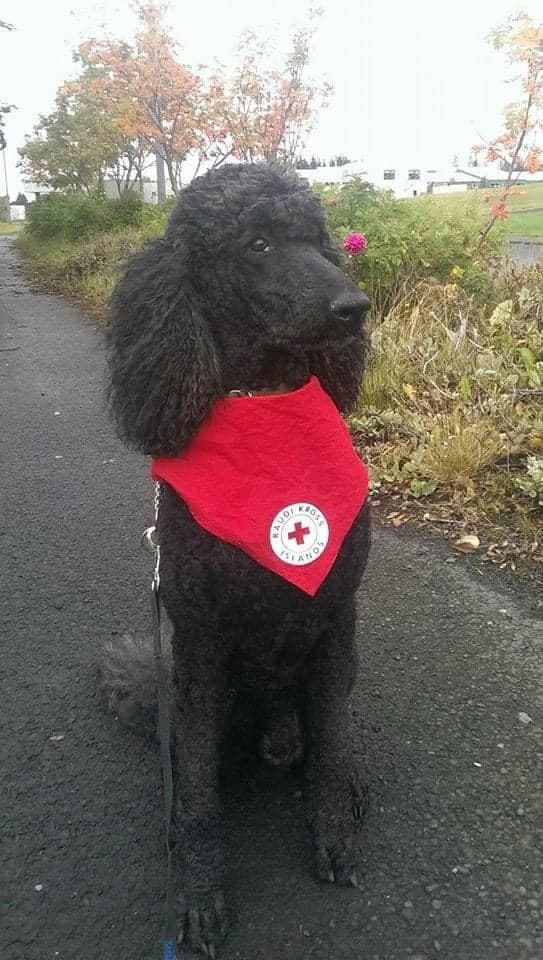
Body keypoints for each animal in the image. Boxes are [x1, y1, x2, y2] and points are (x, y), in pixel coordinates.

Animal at [102, 163, 371, 955]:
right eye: (256, 244)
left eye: (317, 239)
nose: (355, 309)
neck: (266, 411)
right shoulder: (199, 644)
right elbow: (194, 792)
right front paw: (198, 892)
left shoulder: (335, 619)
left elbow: (335, 741)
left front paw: (333, 826)